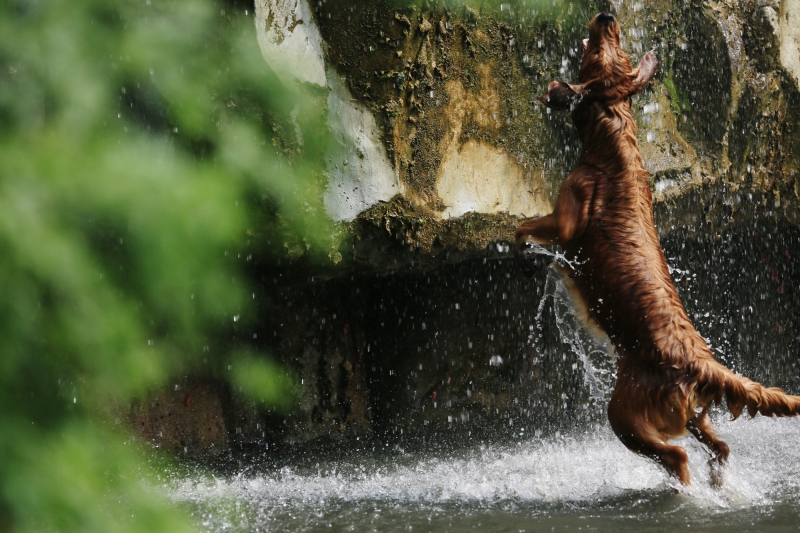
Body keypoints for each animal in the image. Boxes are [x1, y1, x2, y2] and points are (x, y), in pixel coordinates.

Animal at [516, 13, 800, 486]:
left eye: (600, 51)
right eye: (617, 48)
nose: (607, 17)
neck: (613, 130)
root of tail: (699, 360)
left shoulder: (566, 216)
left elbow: (522, 226)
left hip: (625, 413)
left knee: (677, 457)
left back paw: (683, 488)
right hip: (693, 414)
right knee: (719, 446)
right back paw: (719, 482)